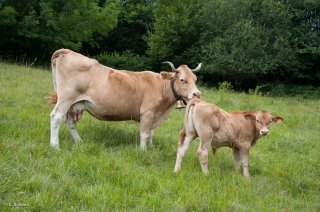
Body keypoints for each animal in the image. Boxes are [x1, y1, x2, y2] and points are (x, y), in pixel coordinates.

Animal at [48, 49, 201, 150]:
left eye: (195, 79)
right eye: (182, 80)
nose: (197, 94)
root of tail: (67, 52)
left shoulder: (154, 116)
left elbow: (151, 132)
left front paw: (151, 148)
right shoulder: (147, 113)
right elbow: (144, 134)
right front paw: (143, 151)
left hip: (75, 103)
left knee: (70, 122)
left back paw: (79, 141)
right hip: (66, 98)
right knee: (56, 117)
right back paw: (55, 146)